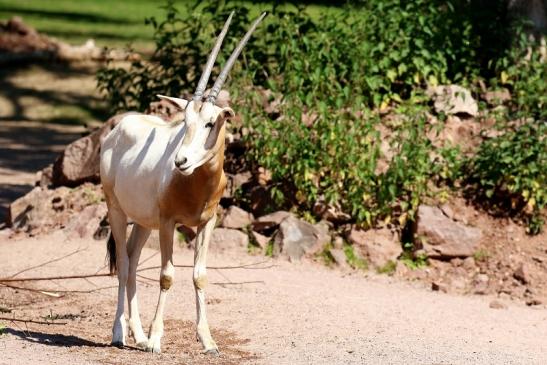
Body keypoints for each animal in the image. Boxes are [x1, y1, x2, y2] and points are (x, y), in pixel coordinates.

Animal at [100, 12, 268, 354]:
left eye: (210, 123)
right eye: (185, 122)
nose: (181, 161)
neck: (197, 185)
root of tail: (117, 130)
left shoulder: (207, 223)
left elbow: (199, 276)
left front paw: (208, 340)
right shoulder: (169, 223)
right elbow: (166, 275)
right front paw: (156, 340)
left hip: (144, 222)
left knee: (133, 261)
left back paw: (137, 334)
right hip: (117, 211)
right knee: (123, 263)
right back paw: (120, 334)